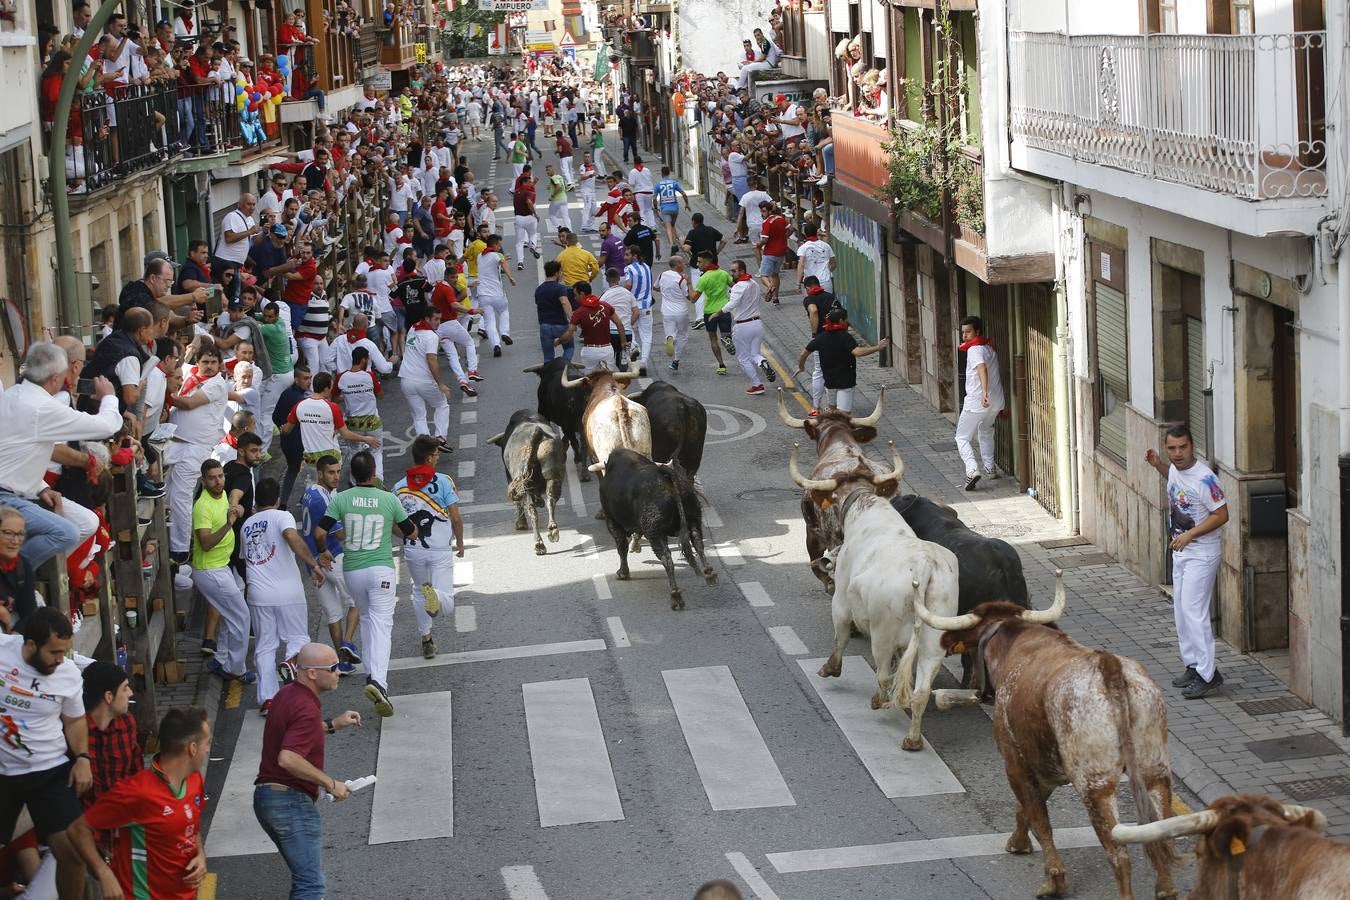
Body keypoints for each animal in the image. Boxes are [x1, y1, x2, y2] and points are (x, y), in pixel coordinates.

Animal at [788, 445, 961, 755]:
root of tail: (924, 564)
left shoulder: (841, 599)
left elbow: (841, 635)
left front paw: (831, 668)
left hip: (883, 632)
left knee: (884, 674)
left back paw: (879, 701)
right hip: (934, 638)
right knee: (920, 690)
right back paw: (913, 739)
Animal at [912, 577, 1177, 900]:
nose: (973, 686)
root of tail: (1109, 668)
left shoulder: (1015, 761)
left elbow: (1038, 818)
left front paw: (1054, 880)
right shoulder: (1044, 767)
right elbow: (1027, 809)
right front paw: (1018, 842)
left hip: (1095, 785)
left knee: (1118, 853)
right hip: (1155, 772)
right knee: (1162, 836)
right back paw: (1166, 888)